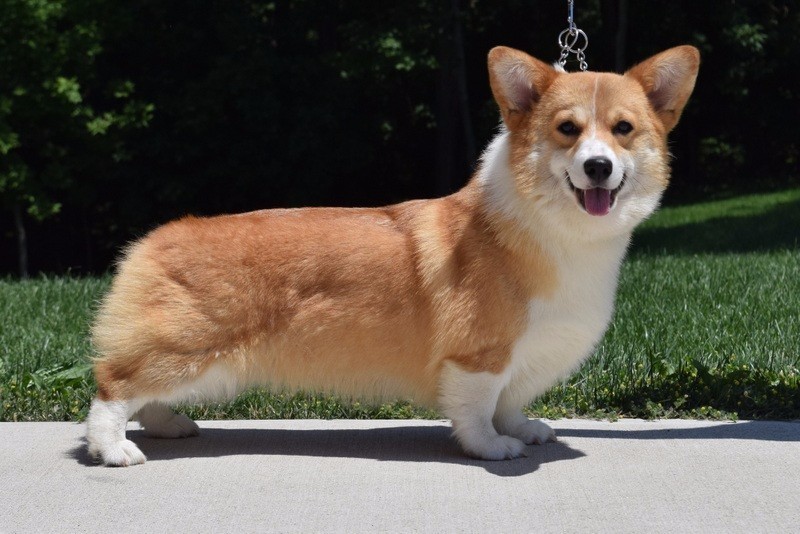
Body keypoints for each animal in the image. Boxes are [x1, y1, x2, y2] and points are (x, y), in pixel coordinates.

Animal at [87, 45, 696, 464]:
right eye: (567, 129)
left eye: (623, 129)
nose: (598, 166)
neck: (560, 234)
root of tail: (153, 239)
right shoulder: (478, 355)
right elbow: (478, 409)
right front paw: (494, 448)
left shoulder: (520, 356)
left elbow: (509, 401)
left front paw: (524, 429)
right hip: (186, 346)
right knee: (114, 386)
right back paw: (114, 450)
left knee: (146, 394)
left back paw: (170, 425)